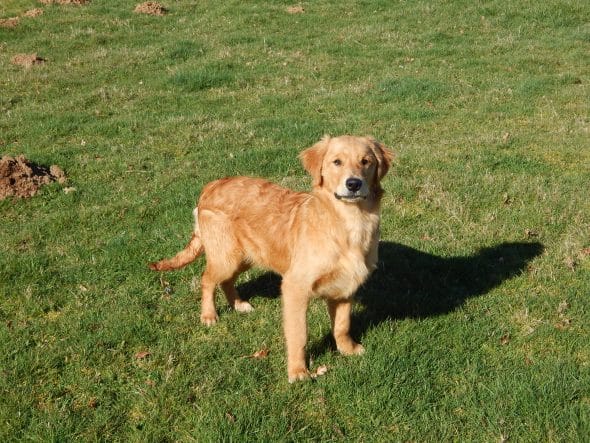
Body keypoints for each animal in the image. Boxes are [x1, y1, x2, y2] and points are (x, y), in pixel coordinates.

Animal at [150, 135, 396, 382]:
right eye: (337, 162)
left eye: (365, 162)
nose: (353, 184)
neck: (349, 223)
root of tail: (211, 185)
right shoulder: (295, 287)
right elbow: (299, 334)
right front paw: (298, 371)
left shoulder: (344, 287)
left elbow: (342, 325)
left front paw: (348, 349)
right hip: (226, 257)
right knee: (207, 279)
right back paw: (209, 315)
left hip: (246, 256)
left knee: (226, 281)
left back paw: (239, 305)